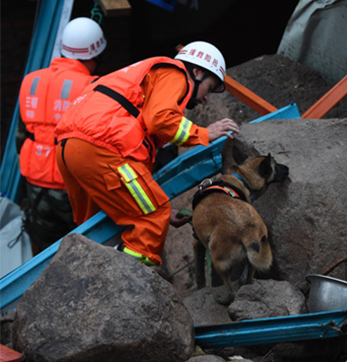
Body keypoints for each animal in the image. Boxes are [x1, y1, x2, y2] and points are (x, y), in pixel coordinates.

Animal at [192, 143, 290, 304]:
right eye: (275, 165)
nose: (287, 168)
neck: (242, 178)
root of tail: (247, 232)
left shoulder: (196, 242)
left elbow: (199, 270)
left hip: (218, 260)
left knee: (231, 290)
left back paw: (223, 299)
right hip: (254, 256)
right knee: (249, 276)